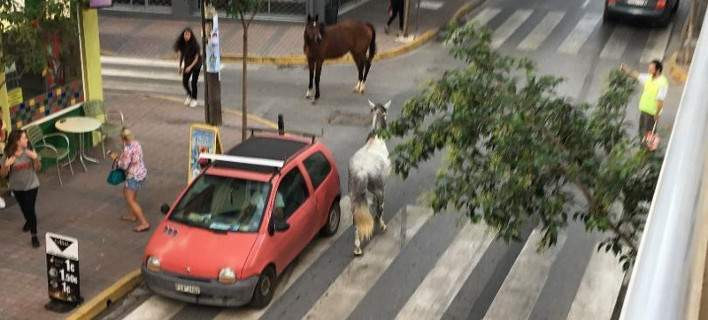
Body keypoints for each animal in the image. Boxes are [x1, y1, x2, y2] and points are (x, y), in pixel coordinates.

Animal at [348, 99, 390, 256]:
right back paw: (381, 225)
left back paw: (357, 247)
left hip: (353, 193)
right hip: (378, 189)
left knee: (355, 219)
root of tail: (361, 169)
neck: (375, 140)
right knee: (380, 207)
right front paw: (379, 223)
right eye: (386, 114)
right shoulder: (380, 187)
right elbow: (378, 207)